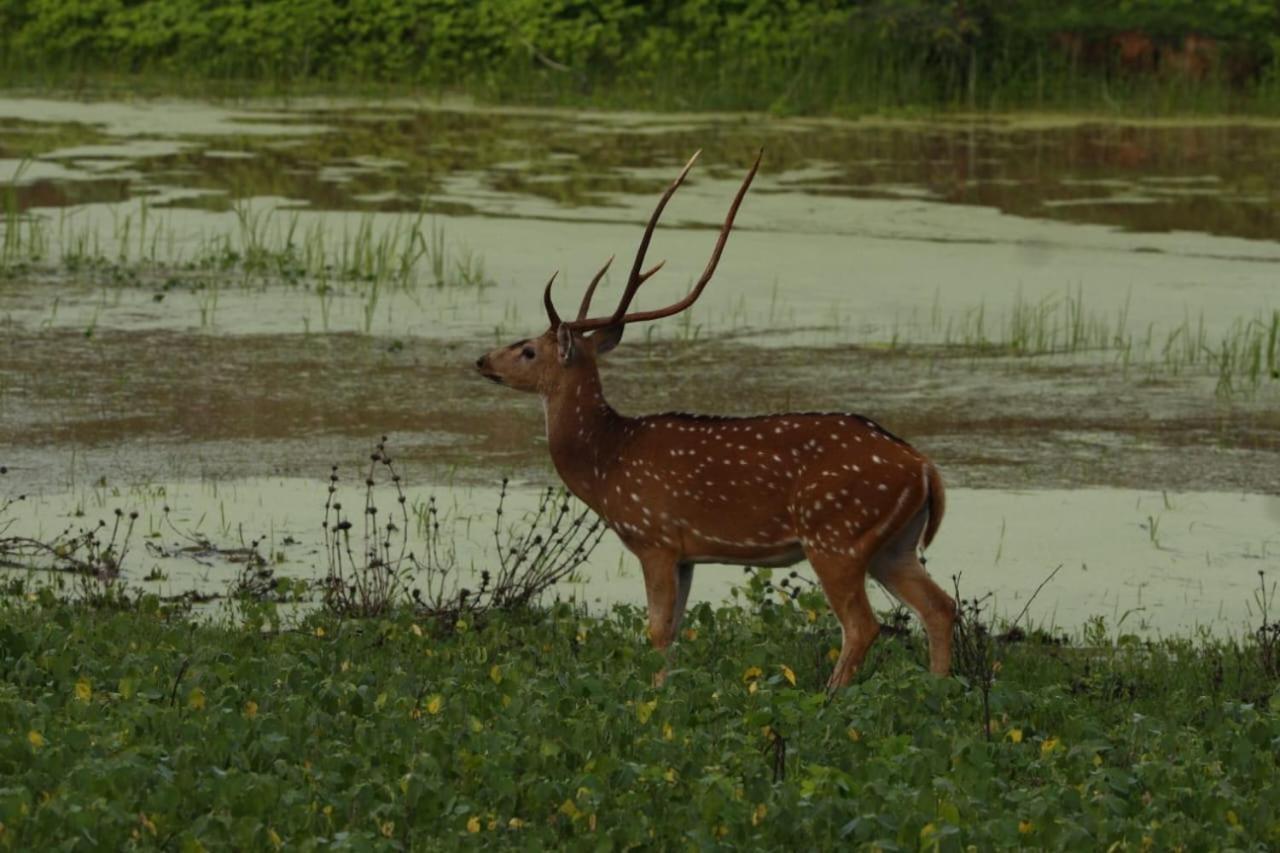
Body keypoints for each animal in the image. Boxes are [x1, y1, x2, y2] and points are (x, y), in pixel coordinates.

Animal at [476, 151, 957, 686]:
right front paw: (663, 692)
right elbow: (673, 631)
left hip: (837, 533)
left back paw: (832, 695)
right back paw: (938, 688)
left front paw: (651, 695)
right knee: (940, 607)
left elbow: (656, 631)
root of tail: (924, 469)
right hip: (895, 544)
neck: (607, 463)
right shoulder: (687, 554)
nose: (481, 361)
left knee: (863, 624)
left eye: (527, 350)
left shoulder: (655, 536)